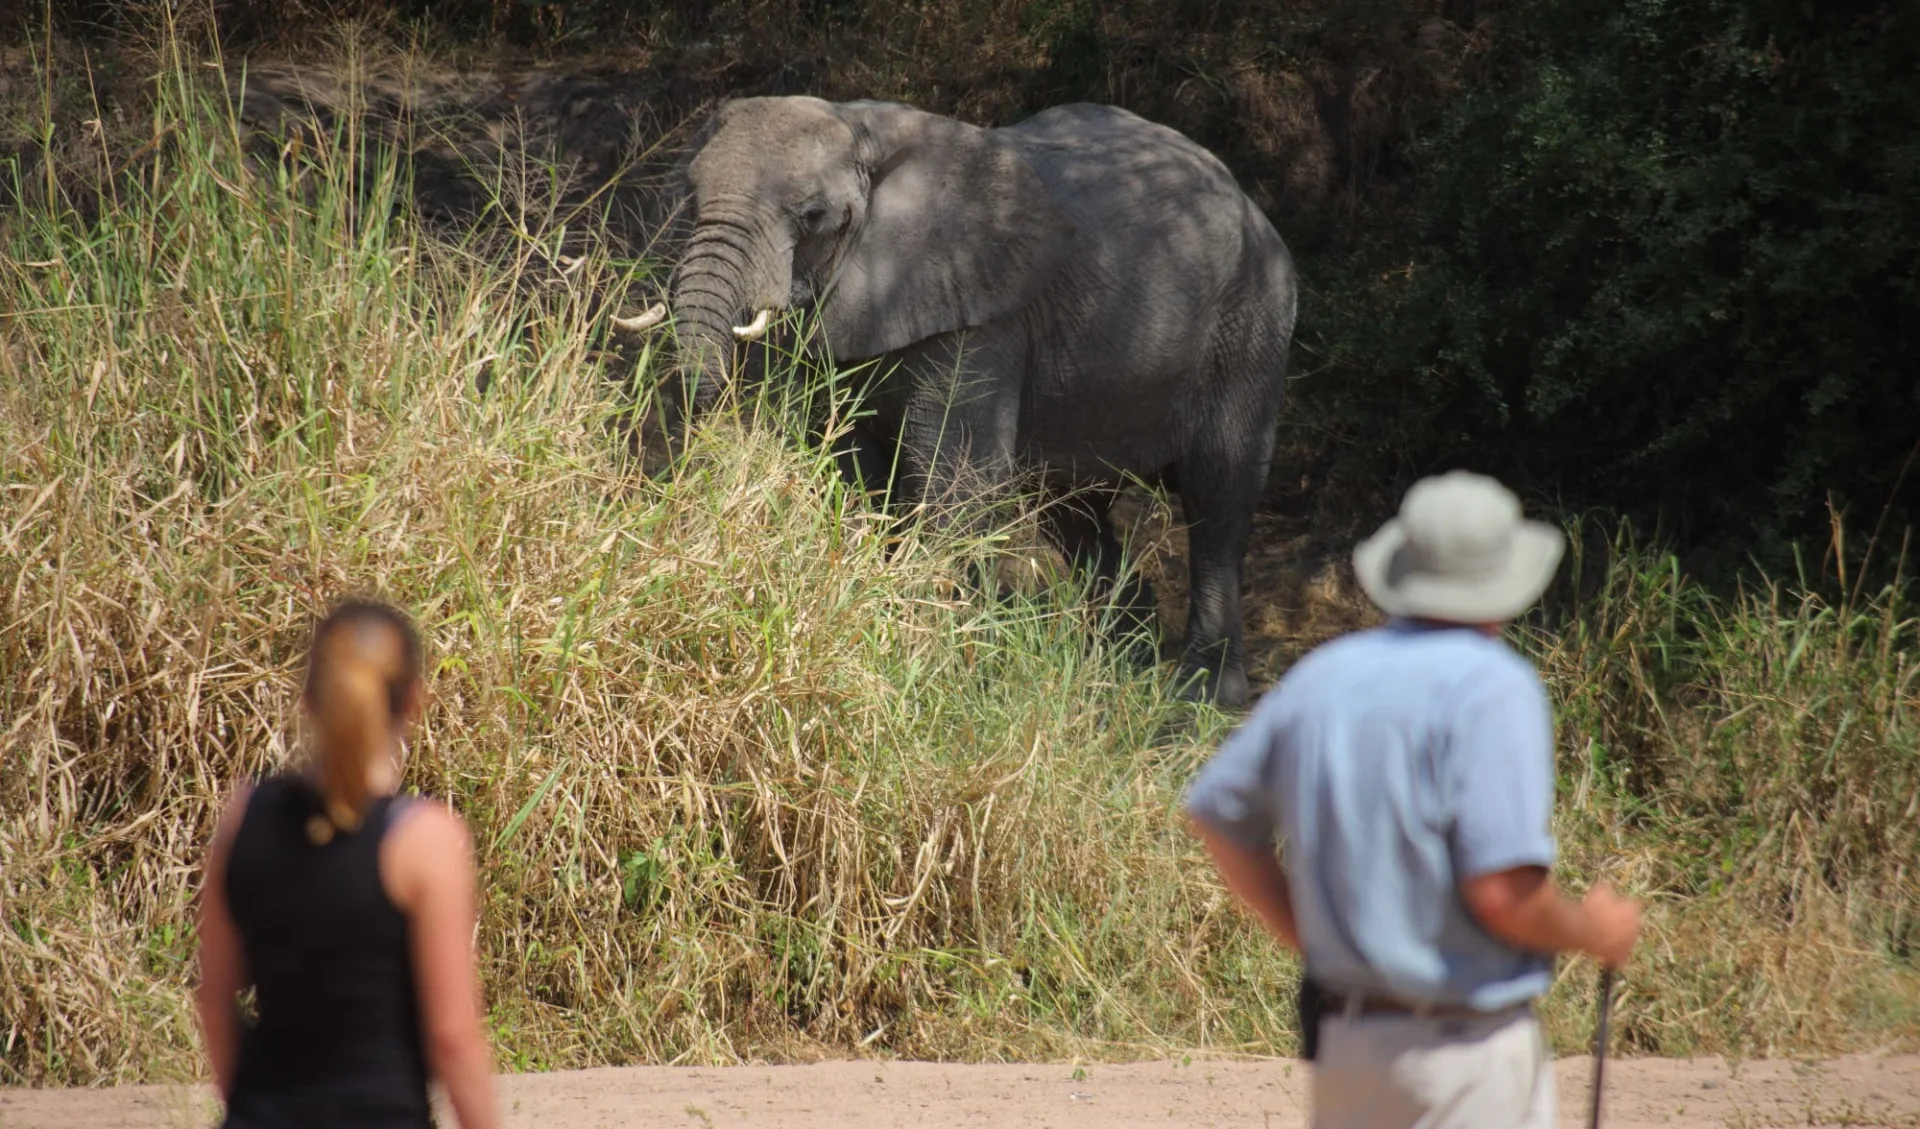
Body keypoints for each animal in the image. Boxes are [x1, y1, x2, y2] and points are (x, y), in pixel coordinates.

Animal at [622, 95, 1297, 706]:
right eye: (689, 196)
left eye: (812, 215)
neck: (860, 128)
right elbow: (855, 474)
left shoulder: (982, 315)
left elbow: (953, 480)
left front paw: (921, 664)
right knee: (1074, 513)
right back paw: (1118, 675)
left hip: (1252, 328)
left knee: (1217, 498)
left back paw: (1200, 699)